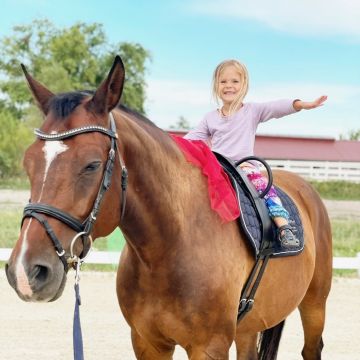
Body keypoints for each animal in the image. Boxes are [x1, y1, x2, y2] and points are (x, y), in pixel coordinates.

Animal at [5, 55, 332, 358]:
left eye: (92, 165)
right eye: (28, 163)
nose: (26, 271)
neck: (170, 247)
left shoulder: (209, 348)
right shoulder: (148, 343)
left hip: (314, 304)